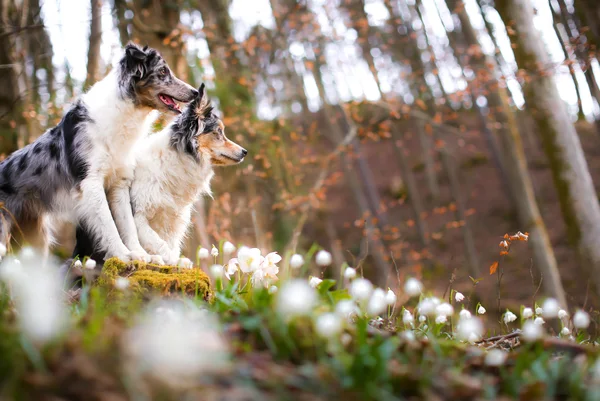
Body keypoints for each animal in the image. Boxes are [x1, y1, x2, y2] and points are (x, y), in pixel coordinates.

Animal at [0, 42, 196, 260]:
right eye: (162, 71)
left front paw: (139, 254)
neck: (125, 111)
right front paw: (123, 254)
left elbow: (128, 224)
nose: (195, 92)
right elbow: (109, 224)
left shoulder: (120, 183)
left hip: (36, 240)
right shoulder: (91, 182)